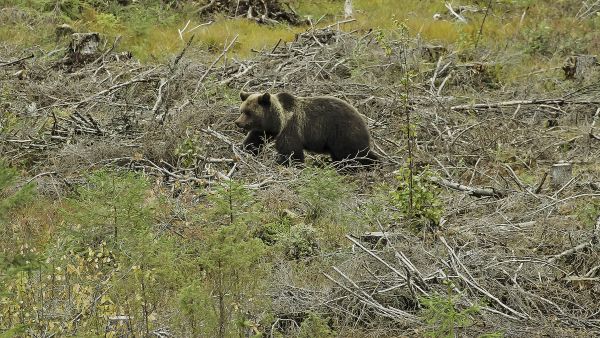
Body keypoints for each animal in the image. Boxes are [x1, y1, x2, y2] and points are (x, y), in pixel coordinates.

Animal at [236, 91, 380, 168]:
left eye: (249, 113)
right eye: (242, 111)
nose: (238, 122)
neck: (277, 122)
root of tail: (363, 120)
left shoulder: (291, 128)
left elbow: (291, 152)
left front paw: (287, 164)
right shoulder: (264, 130)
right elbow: (253, 141)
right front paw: (243, 150)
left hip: (343, 132)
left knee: (354, 154)